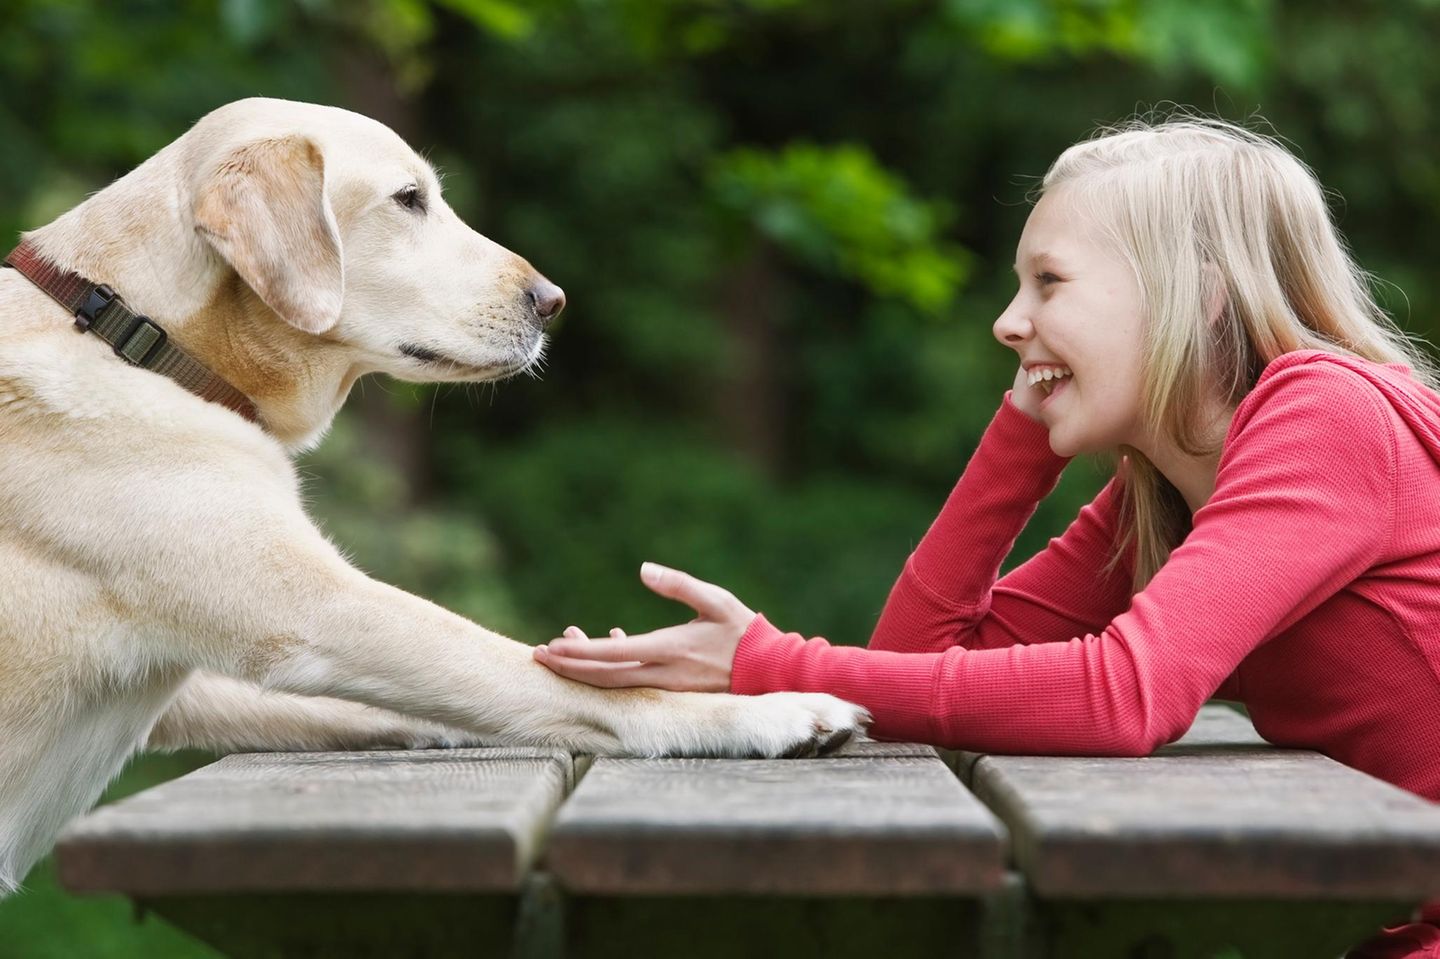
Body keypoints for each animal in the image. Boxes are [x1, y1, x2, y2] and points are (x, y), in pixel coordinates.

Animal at [0, 97, 869, 887]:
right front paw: (768, 709)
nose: (553, 301)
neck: (134, 332)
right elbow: (548, 675)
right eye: (409, 199)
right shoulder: (320, 611)